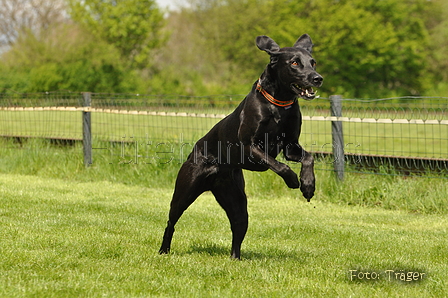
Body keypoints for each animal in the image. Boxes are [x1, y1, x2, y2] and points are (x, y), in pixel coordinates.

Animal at [159, 34, 324, 258]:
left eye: (313, 62)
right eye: (295, 63)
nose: (317, 78)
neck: (278, 104)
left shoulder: (291, 146)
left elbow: (308, 157)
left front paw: (308, 185)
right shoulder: (249, 147)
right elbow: (279, 165)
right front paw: (292, 179)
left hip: (237, 202)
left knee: (237, 229)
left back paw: (235, 259)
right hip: (185, 191)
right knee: (171, 222)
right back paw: (164, 250)